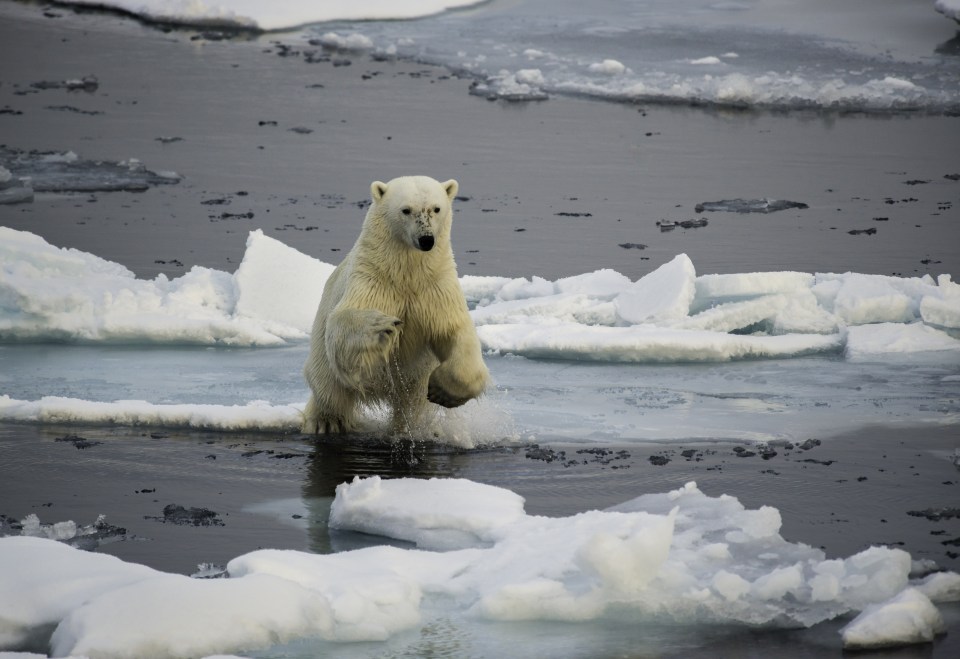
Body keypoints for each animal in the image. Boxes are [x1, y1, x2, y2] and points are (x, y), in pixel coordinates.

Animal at [304, 175, 492, 436]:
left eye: (436, 208)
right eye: (406, 210)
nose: (426, 239)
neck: (406, 273)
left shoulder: (436, 287)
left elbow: (454, 332)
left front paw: (442, 392)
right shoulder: (372, 278)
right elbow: (340, 325)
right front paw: (382, 325)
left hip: (413, 384)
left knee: (412, 405)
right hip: (322, 357)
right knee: (329, 389)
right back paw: (327, 422)